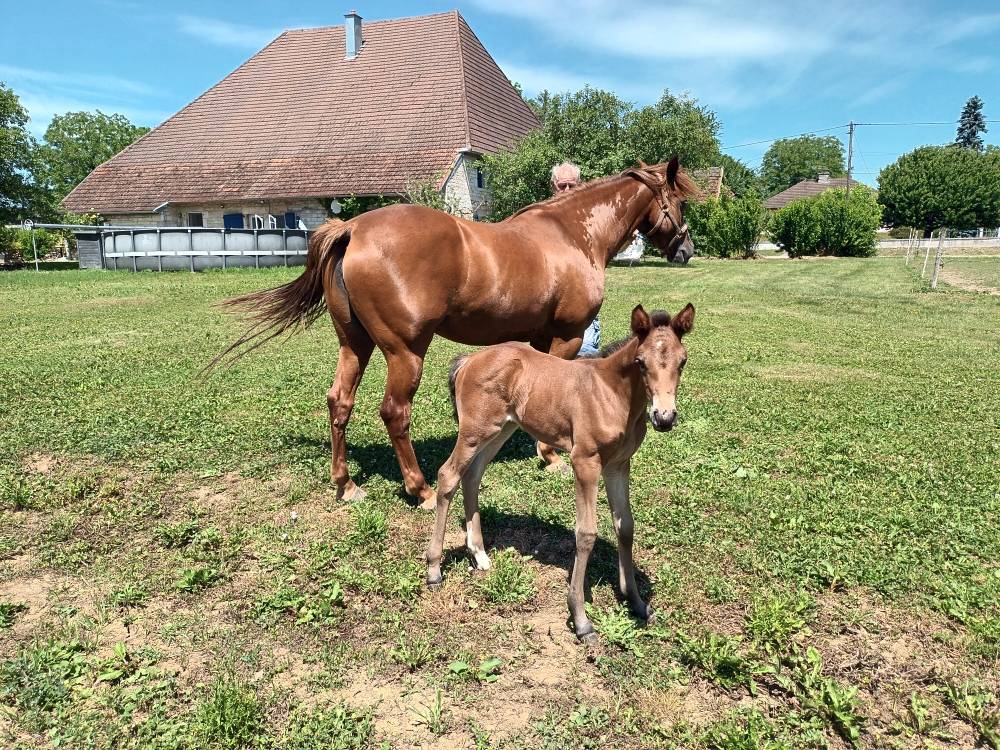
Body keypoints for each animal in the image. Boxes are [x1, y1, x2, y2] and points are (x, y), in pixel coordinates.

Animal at [210, 157, 696, 508]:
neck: (574, 234)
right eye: (681, 202)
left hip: (354, 344)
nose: (688, 249)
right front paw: (550, 457)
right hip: (405, 352)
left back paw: (345, 484)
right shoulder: (567, 336)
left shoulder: (538, 340)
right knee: (394, 412)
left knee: (339, 403)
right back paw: (421, 489)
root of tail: (353, 227)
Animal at [426, 303, 695, 643]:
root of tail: (469, 360)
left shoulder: (618, 465)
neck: (612, 394)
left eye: (682, 361)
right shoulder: (586, 462)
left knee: (472, 475)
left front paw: (636, 602)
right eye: (640, 362)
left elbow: (625, 526)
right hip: (475, 430)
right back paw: (434, 570)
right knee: (448, 475)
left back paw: (480, 555)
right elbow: (586, 534)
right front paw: (581, 620)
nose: (664, 417)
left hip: (502, 429)